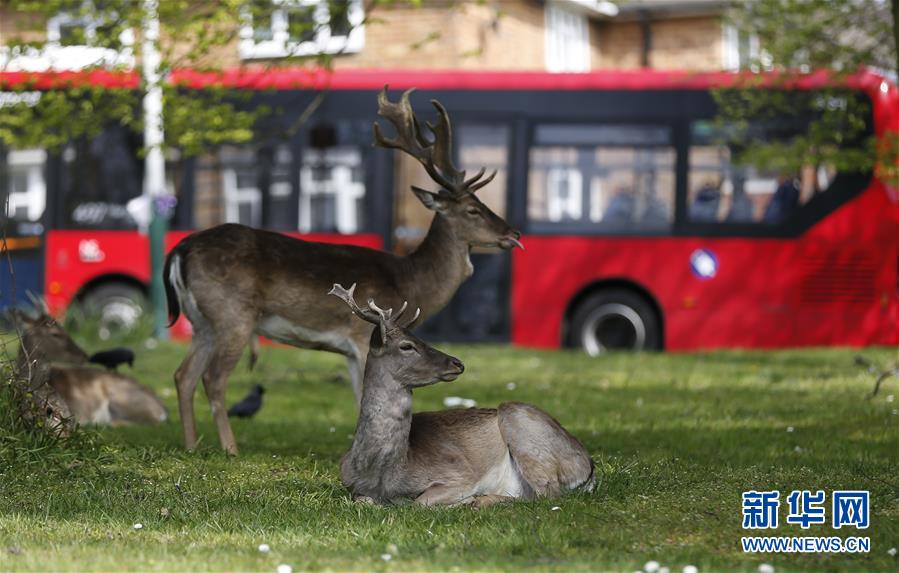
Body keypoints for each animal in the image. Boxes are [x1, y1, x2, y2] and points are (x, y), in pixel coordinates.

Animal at [164, 87, 522, 454]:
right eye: (473, 209)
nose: (513, 233)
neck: (411, 281)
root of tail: (181, 249)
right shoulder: (363, 335)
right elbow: (365, 394)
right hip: (233, 315)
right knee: (213, 378)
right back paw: (230, 449)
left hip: (202, 321)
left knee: (183, 375)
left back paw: (191, 446)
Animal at [329, 283, 594, 507]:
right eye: (407, 345)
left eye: (421, 337)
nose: (457, 362)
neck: (382, 474)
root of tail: (589, 466)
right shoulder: (349, 484)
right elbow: (363, 500)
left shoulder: (459, 473)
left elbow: (419, 502)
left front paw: (464, 500)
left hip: (522, 426)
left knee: (546, 494)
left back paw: (481, 500)